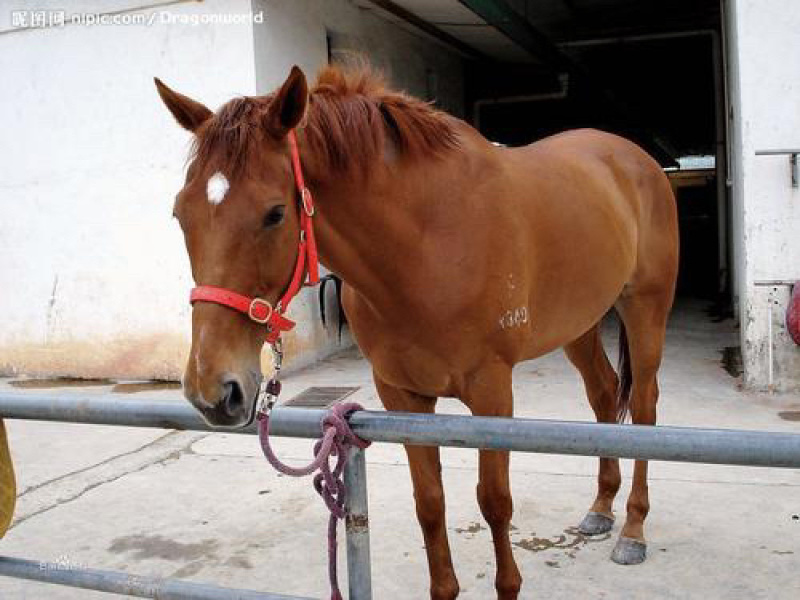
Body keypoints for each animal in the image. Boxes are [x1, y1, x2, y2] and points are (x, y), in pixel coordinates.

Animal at [155, 63, 678, 599]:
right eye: (180, 213)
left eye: (275, 213)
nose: (214, 392)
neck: (428, 243)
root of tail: (634, 158)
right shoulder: (401, 394)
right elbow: (429, 502)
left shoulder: (492, 392)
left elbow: (495, 503)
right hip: (579, 324)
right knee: (604, 393)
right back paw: (601, 509)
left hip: (645, 309)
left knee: (644, 407)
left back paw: (633, 530)